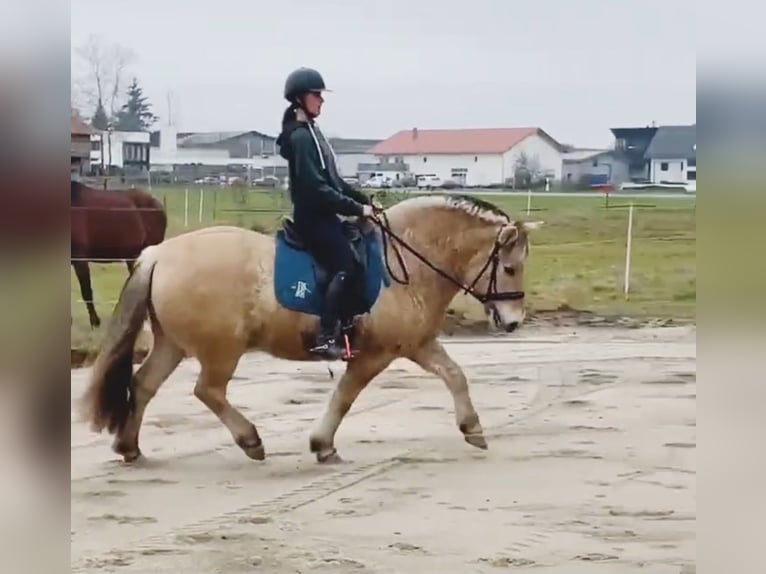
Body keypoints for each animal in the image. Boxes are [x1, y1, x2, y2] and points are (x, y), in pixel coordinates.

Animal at [81, 196, 544, 466]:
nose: (513, 321)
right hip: (221, 349)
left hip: (174, 343)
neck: (405, 262)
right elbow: (345, 396)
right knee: (207, 391)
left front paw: (473, 429)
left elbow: (455, 375)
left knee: (144, 385)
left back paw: (129, 447)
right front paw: (323, 444)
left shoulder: (416, 343)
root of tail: (159, 254)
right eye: (509, 267)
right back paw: (251, 441)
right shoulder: (376, 353)